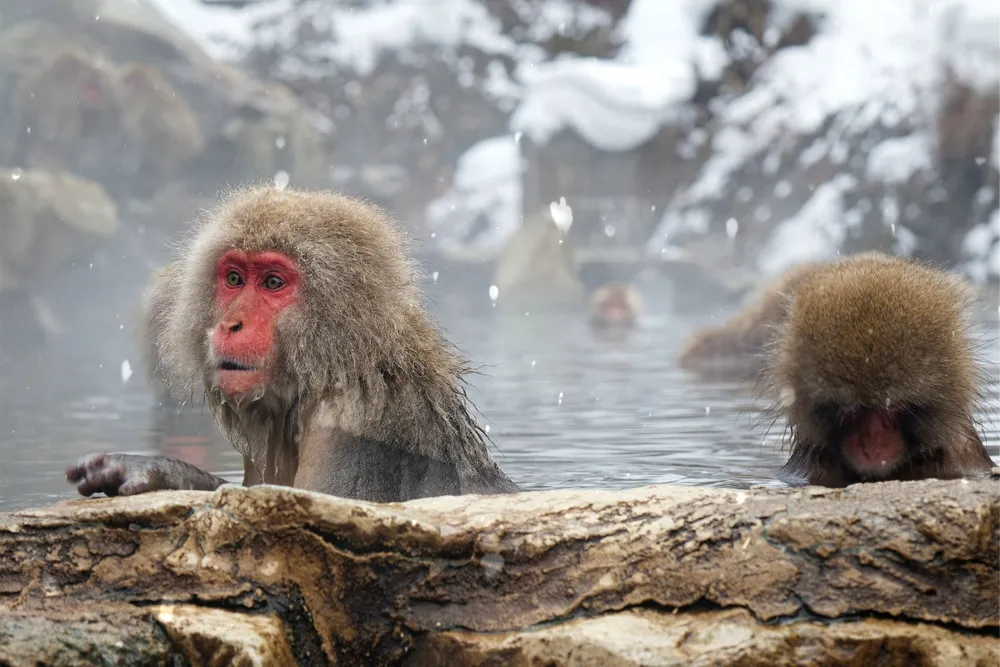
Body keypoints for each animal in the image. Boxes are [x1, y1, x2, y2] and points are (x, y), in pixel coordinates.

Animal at [66, 185, 519, 502]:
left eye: (272, 282)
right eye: (234, 278)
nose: (230, 325)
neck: (338, 364)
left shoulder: (346, 421)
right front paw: (155, 471)